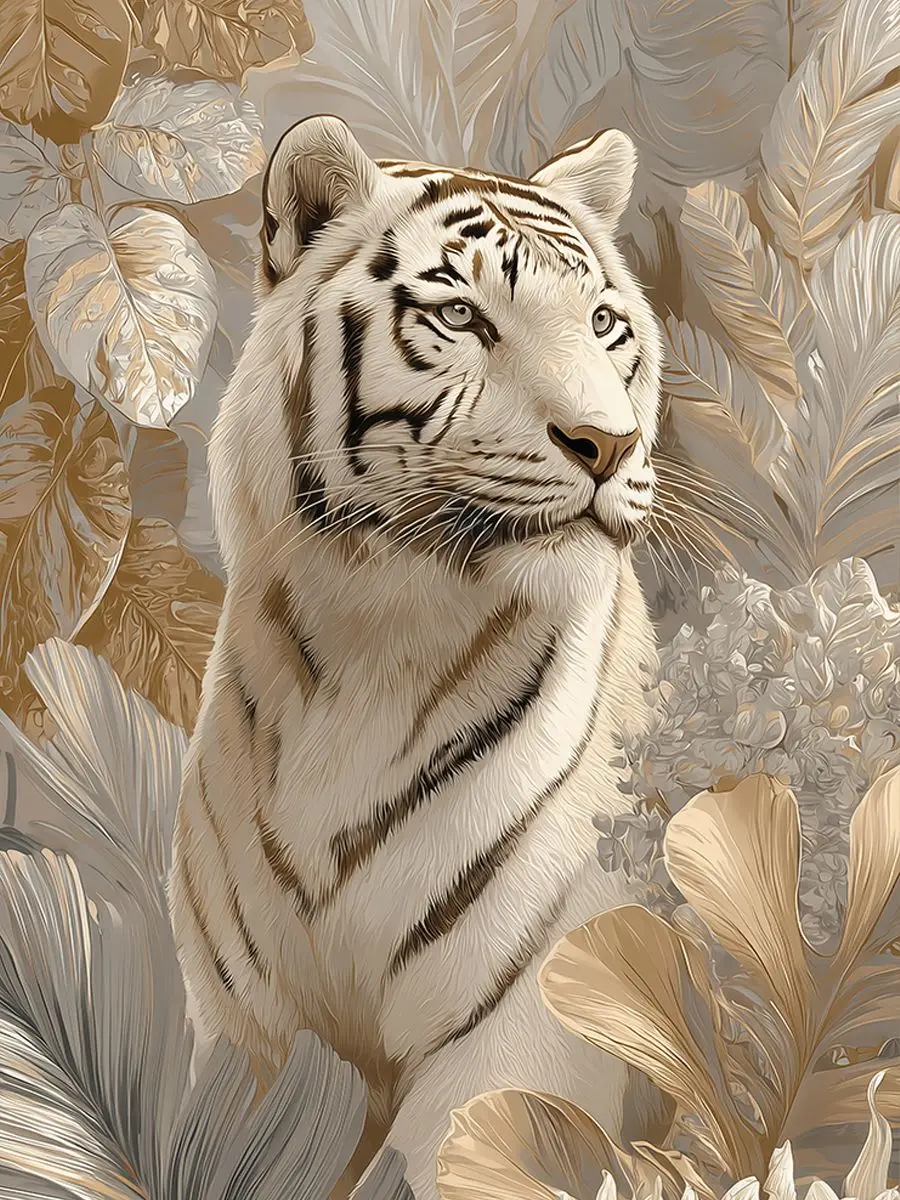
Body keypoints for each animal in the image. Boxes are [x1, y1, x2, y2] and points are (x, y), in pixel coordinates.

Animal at [169, 114, 663, 1199]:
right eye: (462, 316)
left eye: (605, 323)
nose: (607, 443)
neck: (373, 650)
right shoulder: (249, 1033)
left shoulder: (516, 1032)